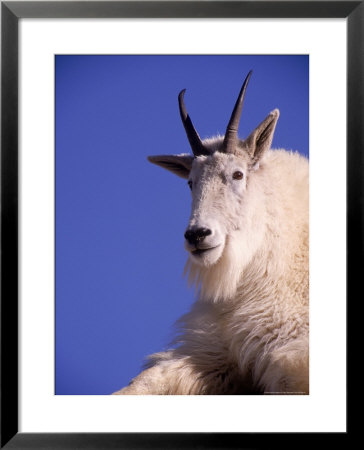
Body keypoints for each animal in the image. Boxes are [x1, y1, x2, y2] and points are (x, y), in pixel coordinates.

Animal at [114, 71, 308, 394]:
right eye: (190, 182)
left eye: (238, 174)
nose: (197, 236)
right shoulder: (213, 353)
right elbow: (143, 381)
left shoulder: (292, 358)